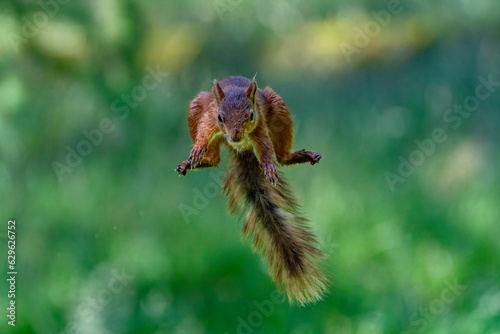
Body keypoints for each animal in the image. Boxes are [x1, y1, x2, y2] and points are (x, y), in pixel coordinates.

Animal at [176, 75, 328, 306]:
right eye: (220, 117)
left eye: (250, 115)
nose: (235, 136)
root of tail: (242, 149)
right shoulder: (209, 116)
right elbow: (204, 131)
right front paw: (197, 148)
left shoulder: (260, 126)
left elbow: (265, 148)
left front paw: (268, 166)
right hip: (196, 107)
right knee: (214, 158)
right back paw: (198, 160)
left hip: (278, 108)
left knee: (281, 156)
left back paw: (294, 156)